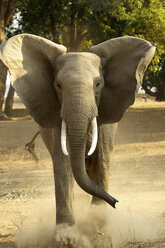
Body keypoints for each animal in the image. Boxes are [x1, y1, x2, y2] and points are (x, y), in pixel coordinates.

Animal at [0, 34, 155, 226]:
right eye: (58, 85)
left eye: (98, 84)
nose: (115, 202)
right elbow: (62, 164)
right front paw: (67, 232)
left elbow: (101, 160)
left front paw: (97, 221)